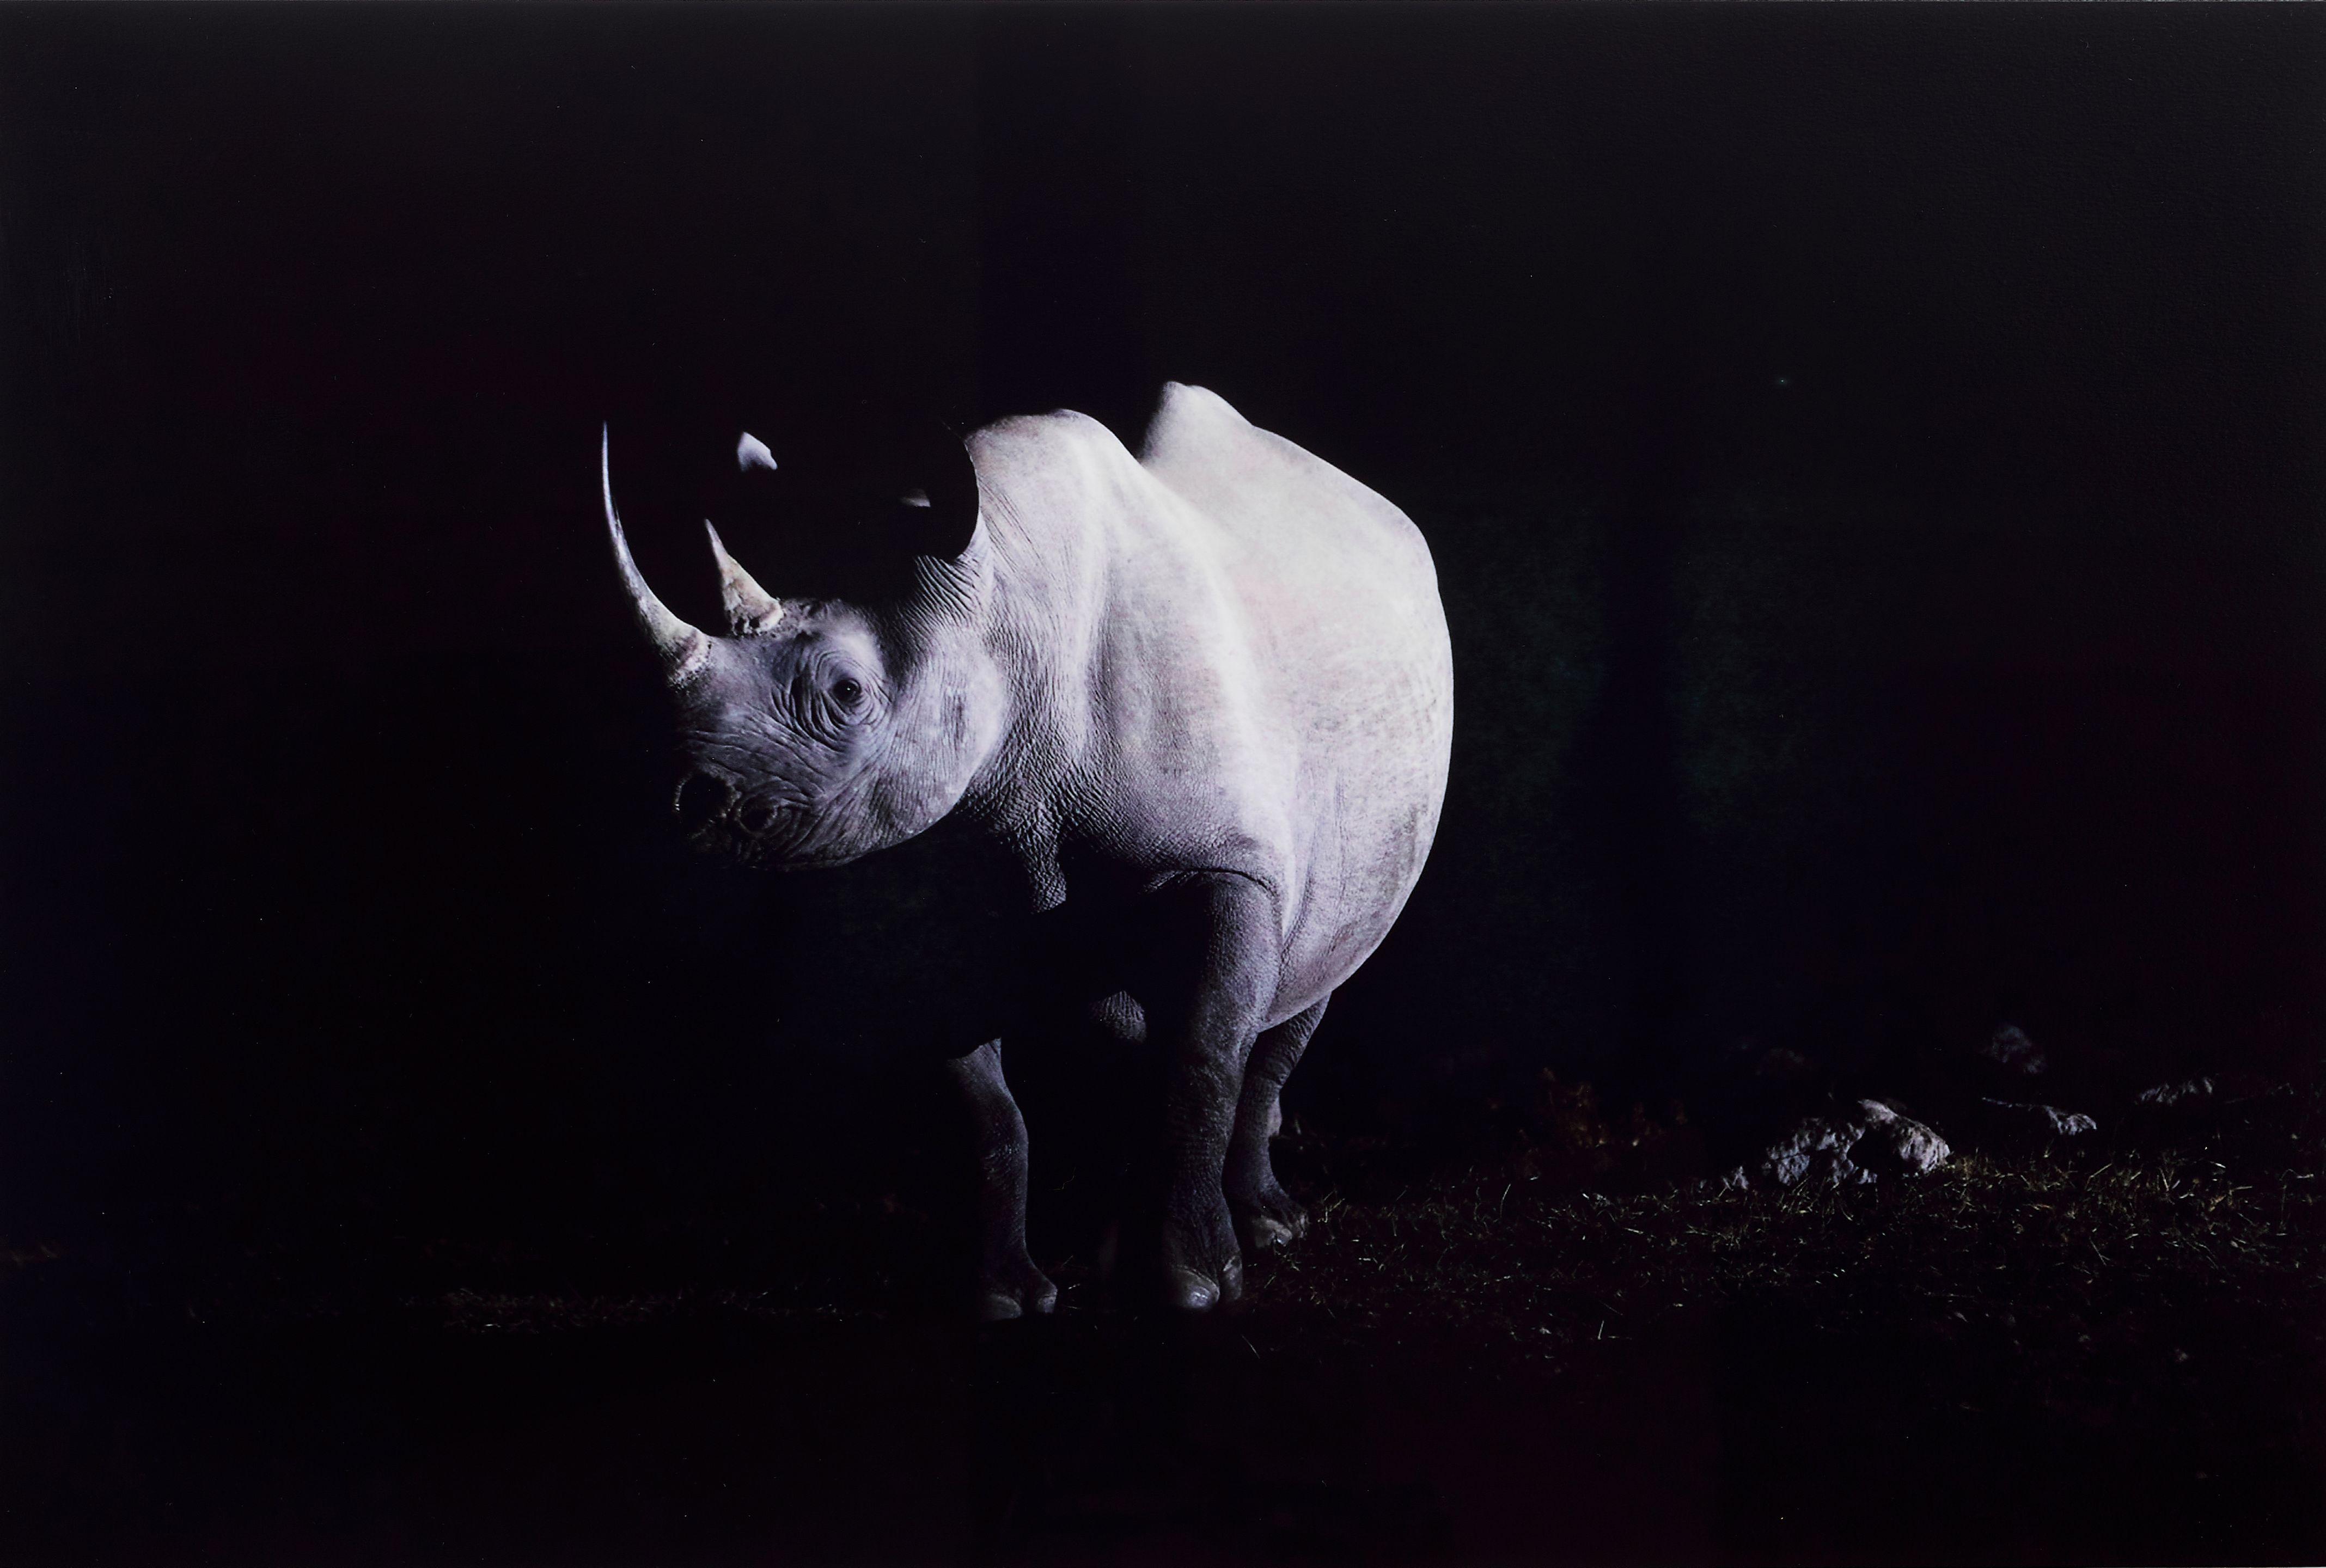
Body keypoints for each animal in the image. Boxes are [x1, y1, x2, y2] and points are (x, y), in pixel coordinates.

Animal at [601, 383, 1452, 1314]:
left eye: (846, 693)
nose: (690, 804)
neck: (1000, 605)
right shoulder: (931, 890)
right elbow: (984, 1111)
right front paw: (1005, 1298)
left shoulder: (1229, 861)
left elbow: (1201, 1060)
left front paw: (1192, 1290)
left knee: (1309, 980)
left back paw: (1266, 1228)